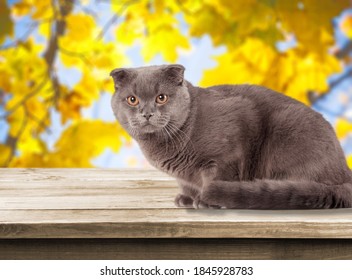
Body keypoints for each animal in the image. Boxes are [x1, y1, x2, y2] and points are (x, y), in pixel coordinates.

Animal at [110, 63, 352, 208]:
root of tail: (344, 172)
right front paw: (187, 198)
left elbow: (217, 175)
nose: (147, 113)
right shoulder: (183, 176)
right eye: (132, 100)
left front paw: (205, 201)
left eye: (161, 98)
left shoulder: (230, 146)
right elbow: (186, 184)